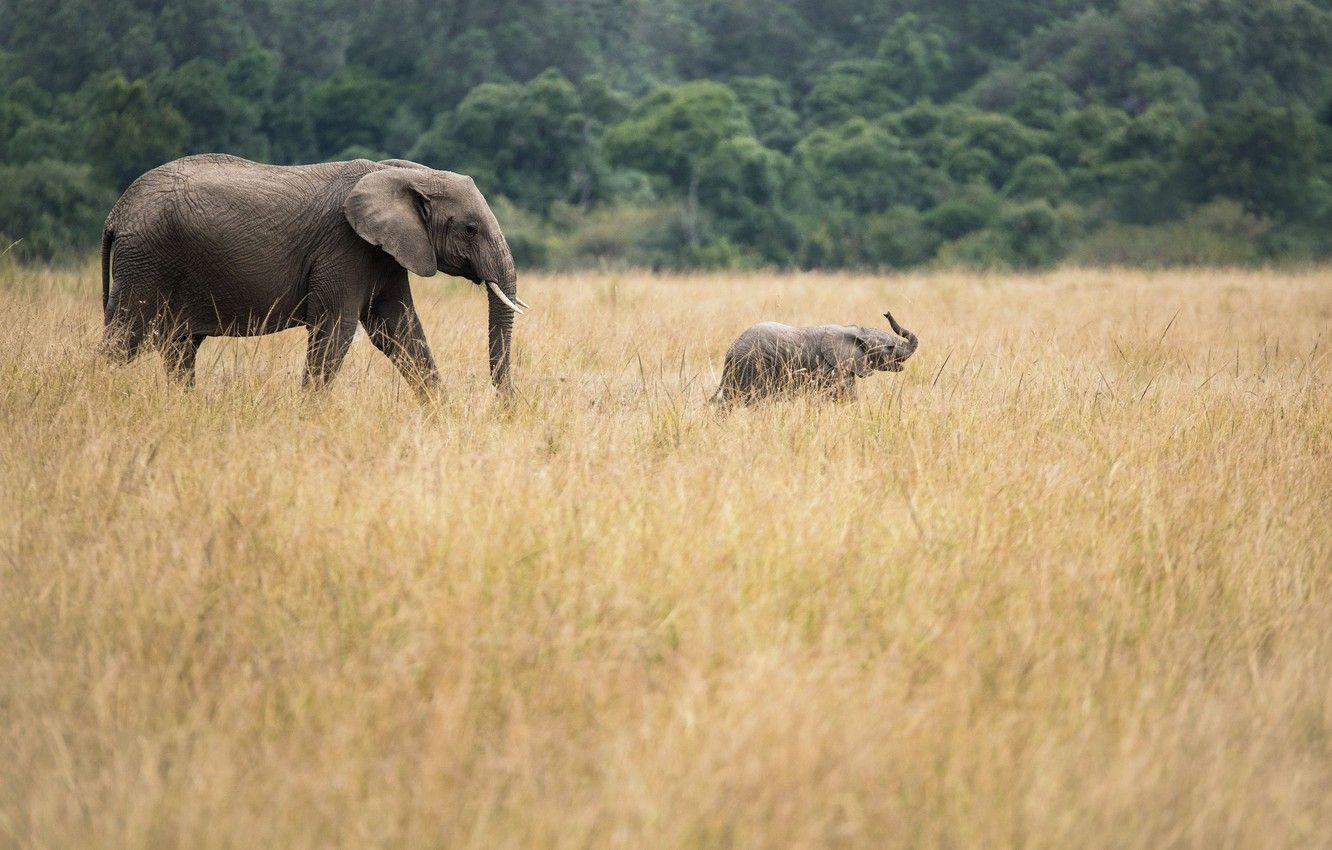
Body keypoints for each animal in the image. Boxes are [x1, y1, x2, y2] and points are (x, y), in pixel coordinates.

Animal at [100, 154, 527, 394]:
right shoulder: (344, 247)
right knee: (124, 339)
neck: (404, 173)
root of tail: (116, 212)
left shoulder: (384, 253)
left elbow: (399, 330)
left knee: (179, 347)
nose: (503, 406)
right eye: (470, 228)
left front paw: (440, 413)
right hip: (147, 261)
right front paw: (309, 414)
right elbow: (336, 329)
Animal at [712, 312, 918, 405]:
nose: (887, 313)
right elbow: (846, 397)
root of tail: (731, 351)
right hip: (753, 366)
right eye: (890, 347)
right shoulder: (833, 369)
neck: (855, 330)